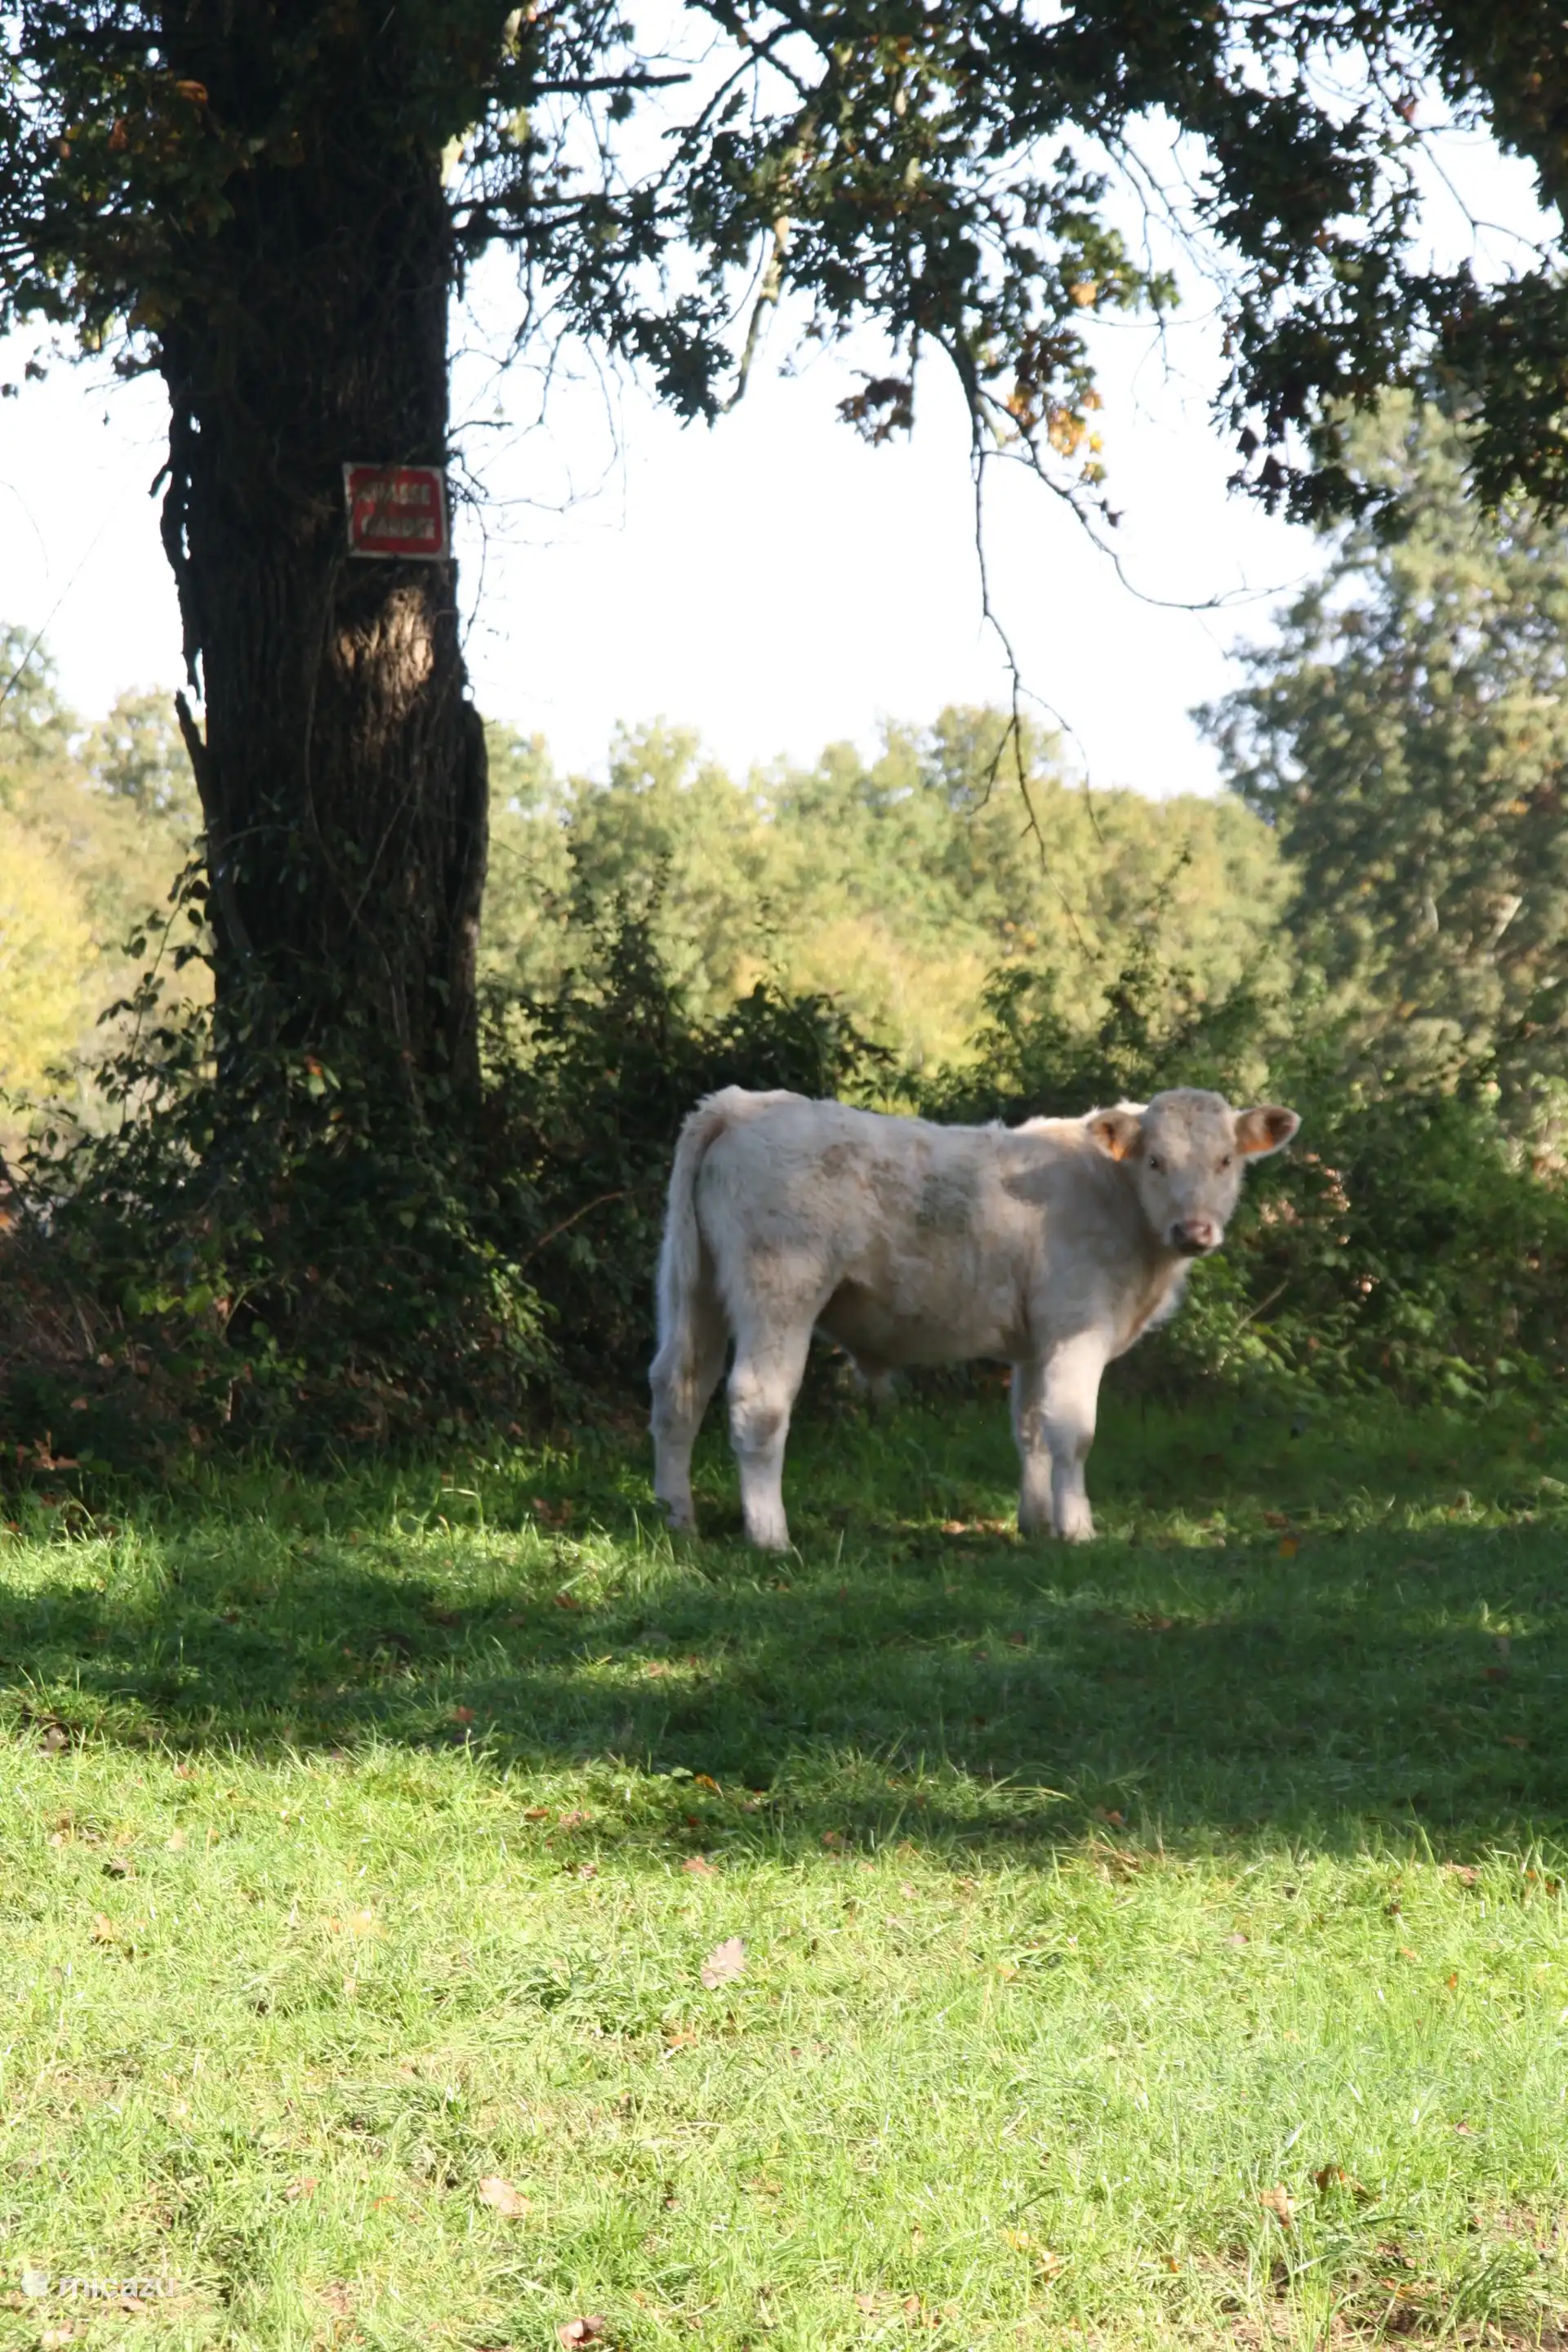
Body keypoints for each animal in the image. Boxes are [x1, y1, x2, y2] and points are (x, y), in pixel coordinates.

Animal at [649, 1085, 1300, 1549]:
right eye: (1157, 1161)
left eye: (1225, 1160)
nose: (1194, 1231)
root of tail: (742, 1104)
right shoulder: (1076, 1326)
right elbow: (1073, 1431)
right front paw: (1079, 1530)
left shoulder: (1037, 1342)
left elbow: (1032, 1428)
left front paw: (1038, 1523)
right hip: (780, 1286)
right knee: (758, 1401)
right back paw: (770, 1536)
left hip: (695, 1288)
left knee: (679, 1387)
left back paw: (678, 1517)